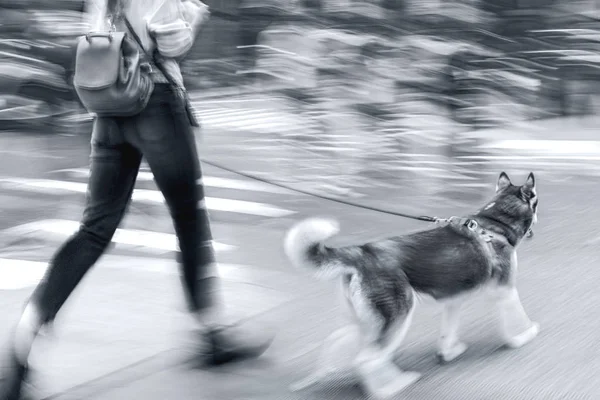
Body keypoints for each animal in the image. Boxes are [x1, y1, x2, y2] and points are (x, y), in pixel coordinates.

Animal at [284, 173, 540, 398]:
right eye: (537, 201)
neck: (494, 223)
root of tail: (362, 251)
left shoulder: (454, 300)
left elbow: (448, 333)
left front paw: (448, 353)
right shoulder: (504, 290)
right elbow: (517, 317)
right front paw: (523, 336)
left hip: (366, 320)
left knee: (340, 343)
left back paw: (327, 375)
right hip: (399, 315)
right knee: (368, 360)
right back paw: (391, 387)